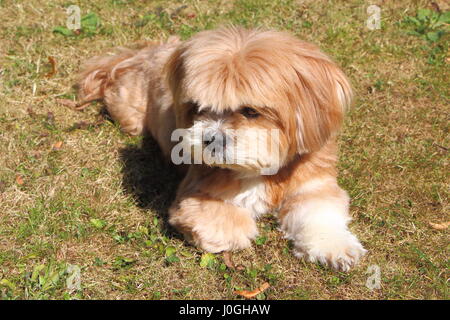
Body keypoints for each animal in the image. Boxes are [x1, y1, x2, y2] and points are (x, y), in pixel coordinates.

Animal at [77, 27, 366, 272]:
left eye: (250, 111)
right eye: (198, 108)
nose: (211, 138)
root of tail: (145, 53)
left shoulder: (312, 184)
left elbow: (320, 214)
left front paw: (334, 247)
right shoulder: (198, 194)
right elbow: (229, 225)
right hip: (131, 114)